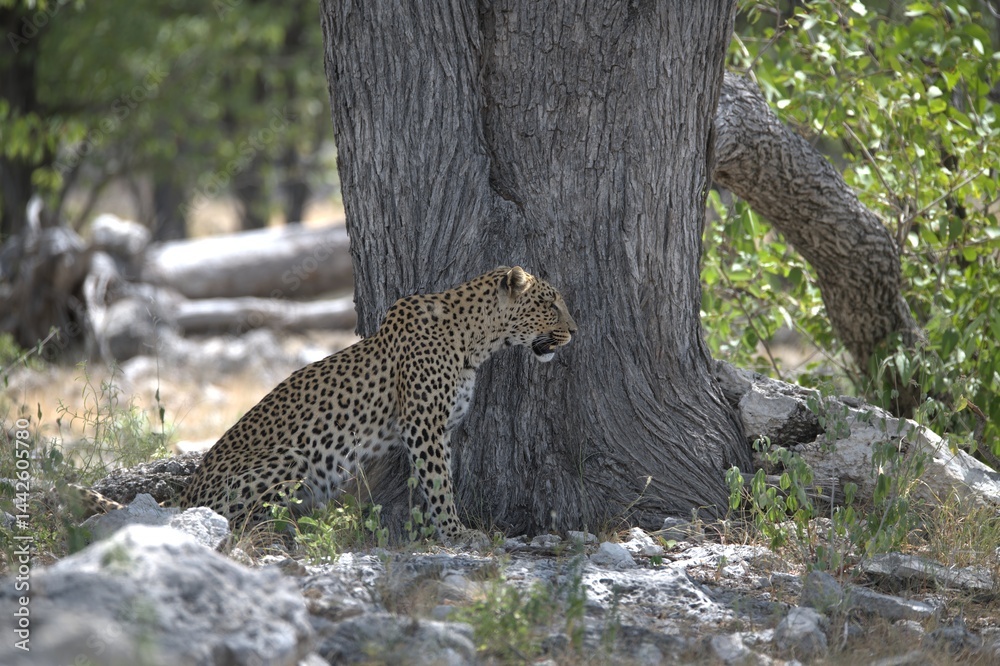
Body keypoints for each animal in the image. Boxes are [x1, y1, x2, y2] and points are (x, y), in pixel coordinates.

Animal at [74, 266, 577, 544]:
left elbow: (436, 483)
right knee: (233, 522)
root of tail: (183, 497)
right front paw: (456, 534)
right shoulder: (424, 429)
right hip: (290, 459)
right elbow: (439, 484)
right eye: (551, 304)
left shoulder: (438, 429)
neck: (476, 339)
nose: (574, 331)